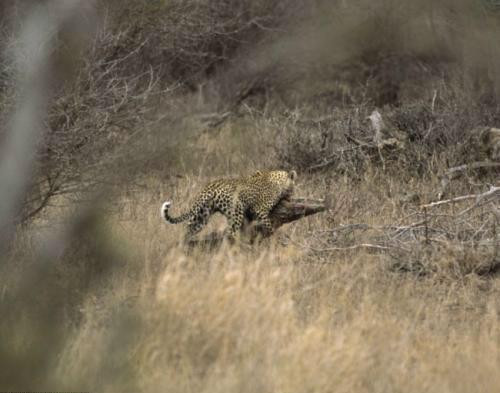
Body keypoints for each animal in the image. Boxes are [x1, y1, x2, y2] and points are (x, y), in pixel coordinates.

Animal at [162, 169, 296, 240]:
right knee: (230, 233)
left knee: (188, 228)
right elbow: (269, 225)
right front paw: (275, 237)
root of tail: (208, 187)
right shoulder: (260, 209)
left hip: (201, 215)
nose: (292, 195)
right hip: (236, 211)